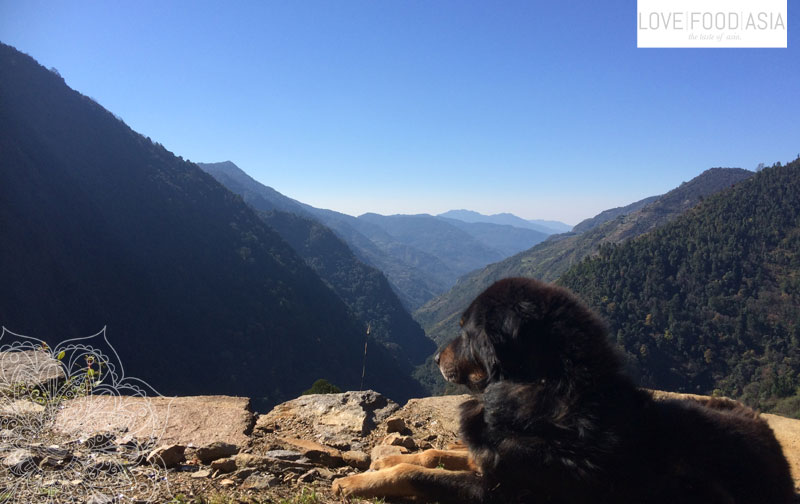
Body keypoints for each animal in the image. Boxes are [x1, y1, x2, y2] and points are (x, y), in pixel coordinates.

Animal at [333, 278, 794, 503]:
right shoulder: (492, 455)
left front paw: (357, 483)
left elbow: (421, 474)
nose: (432, 358)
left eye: (466, 330)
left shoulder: (499, 490)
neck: (543, 393)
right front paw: (386, 460)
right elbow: (433, 455)